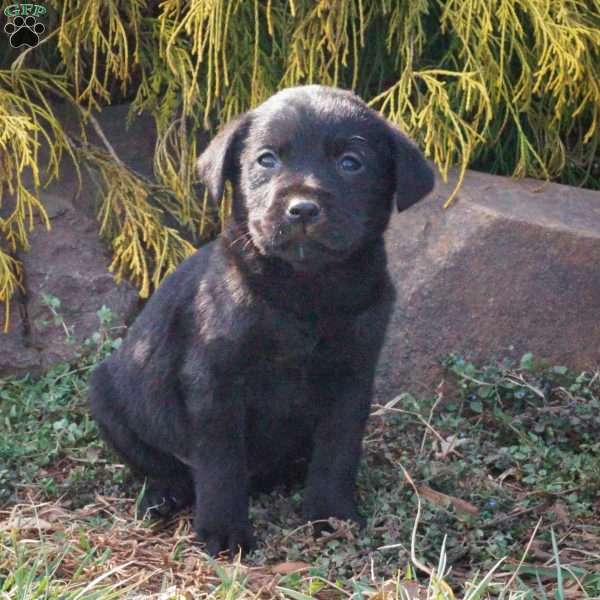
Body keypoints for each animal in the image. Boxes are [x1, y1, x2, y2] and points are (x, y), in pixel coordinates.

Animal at [88, 84, 432, 556]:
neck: (305, 292)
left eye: (351, 162)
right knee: (162, 466)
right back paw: (164, 495)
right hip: (108, 399)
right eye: (266, 160)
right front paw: (224, 531)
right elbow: (221, 465)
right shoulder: (215, 385)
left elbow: (338, 452)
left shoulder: (351, 378)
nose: (302, 209)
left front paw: (330, 515)